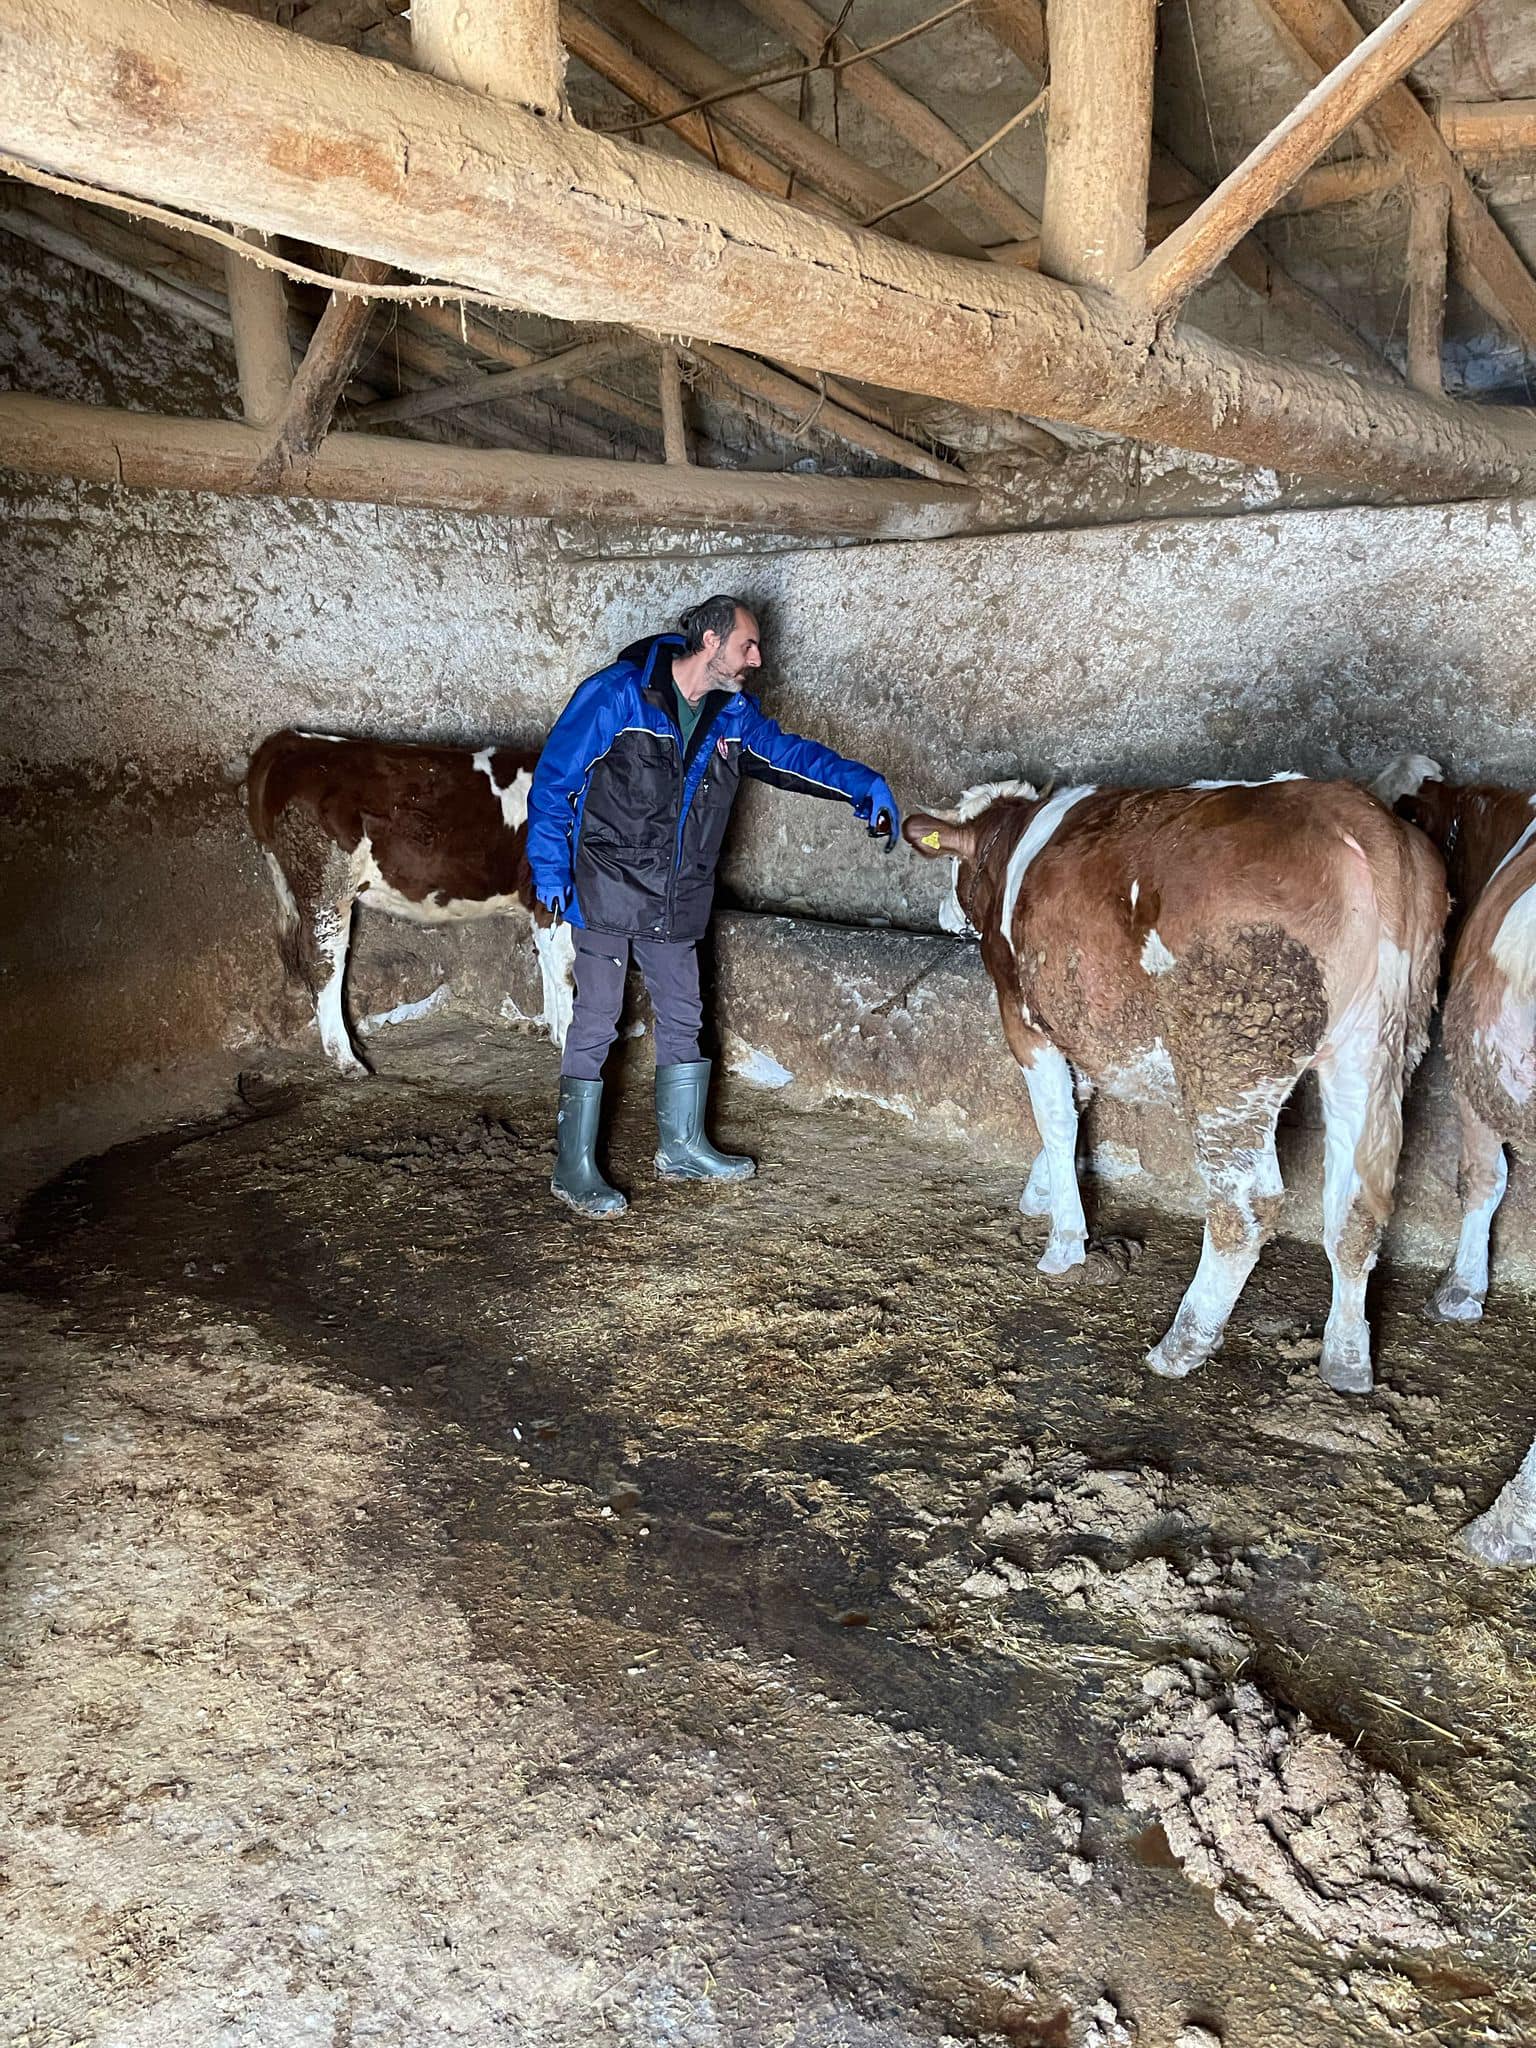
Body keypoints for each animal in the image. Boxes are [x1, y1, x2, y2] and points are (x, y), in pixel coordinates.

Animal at [249, 729, 573, 1073]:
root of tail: (293, 740)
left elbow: (548, 963)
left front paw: (555, 1034)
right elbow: (567, 970)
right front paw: (569, 1040)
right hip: (326, 882)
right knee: (324, 962)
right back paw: (347, 1059)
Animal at [909, 774, 1449, 1400]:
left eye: (952, 867)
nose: (944, 913)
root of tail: (1360, 819)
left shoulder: (1022, 1013)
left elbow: (1055, 1118)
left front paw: (1063, 1244)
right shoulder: (1082, 1020)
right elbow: (1077, 1101)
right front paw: (1039, 1193)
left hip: (1232, 1056)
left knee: (1246, 1205)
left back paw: (1183, 1343)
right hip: (1374, 1050)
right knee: (1356, 1203)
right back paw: (1346, 1359)